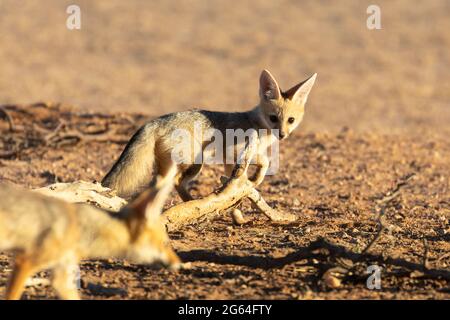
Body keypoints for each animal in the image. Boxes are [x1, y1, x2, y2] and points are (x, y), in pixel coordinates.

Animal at [102, 70, 316, 200]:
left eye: (290, 120)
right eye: (273, 118)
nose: (282, 135)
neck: (256, 124)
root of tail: (155, 121)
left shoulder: (234, 159)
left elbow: (237, 176)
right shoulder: (234, 150)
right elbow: (264, 161)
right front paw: (253, 180)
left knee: (160, 185)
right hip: (196, 162)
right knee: (176, 182)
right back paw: (191, 204)